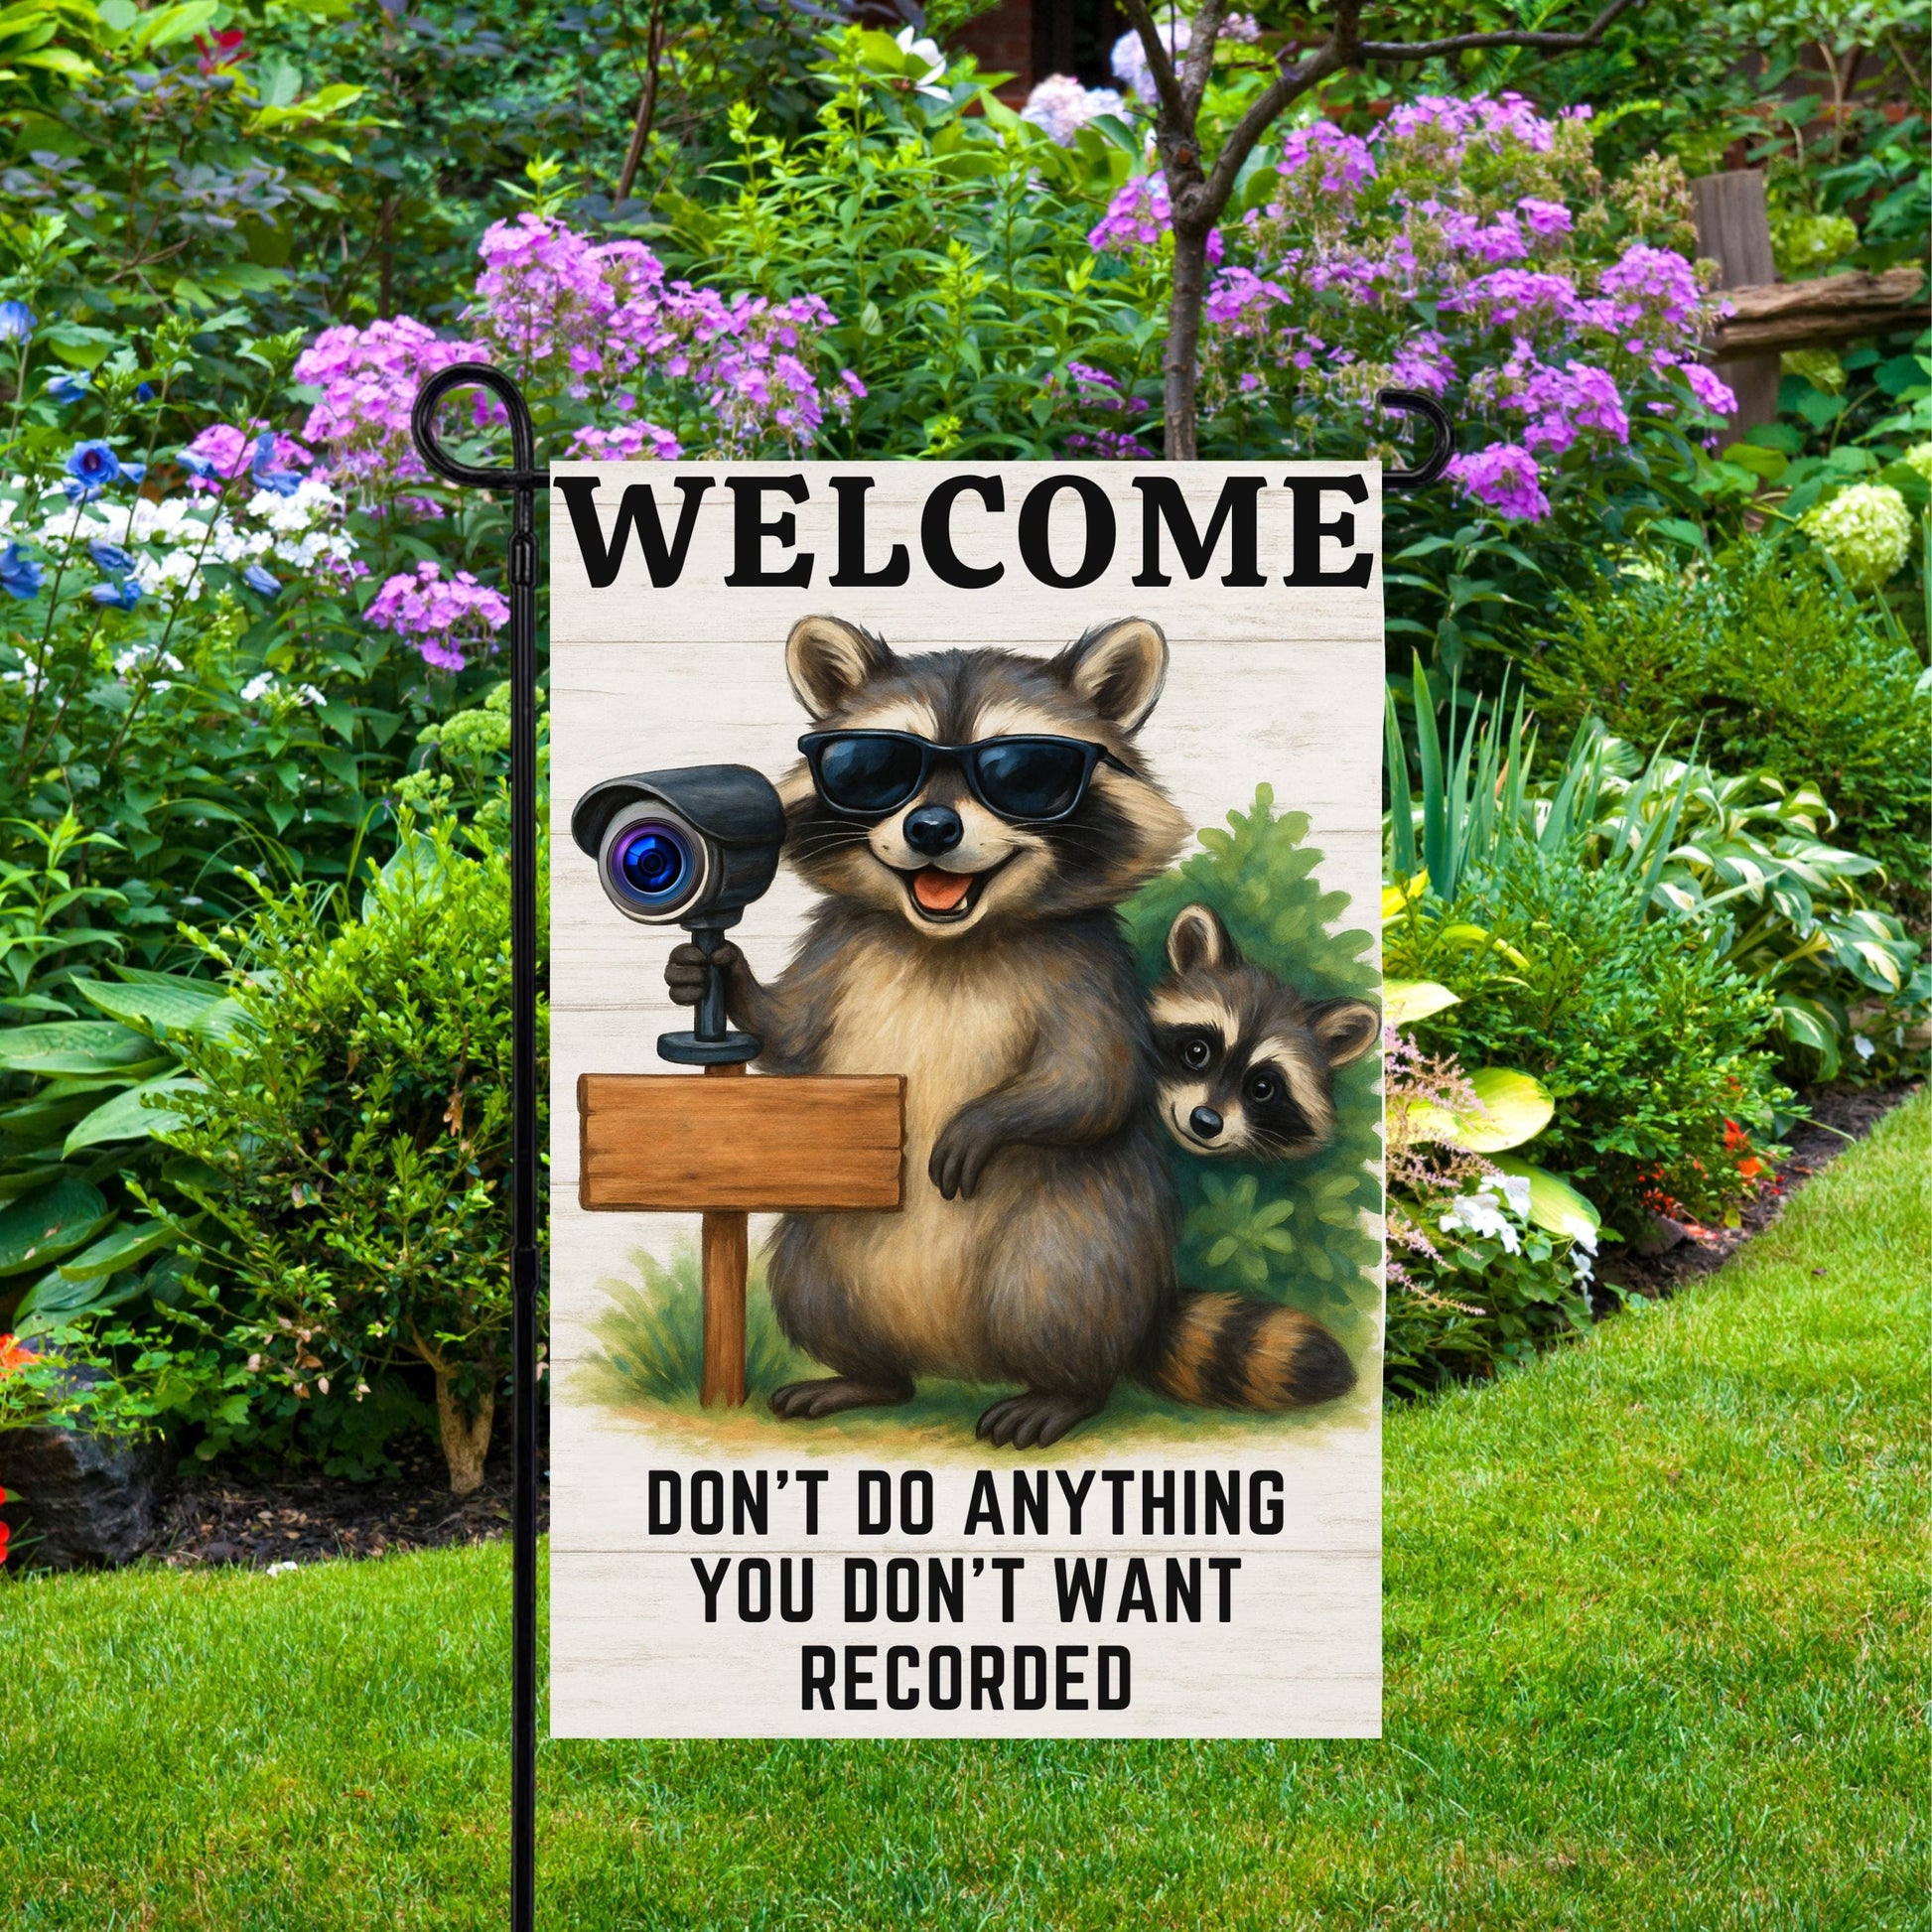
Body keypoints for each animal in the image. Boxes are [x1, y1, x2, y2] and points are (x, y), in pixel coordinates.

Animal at [666, 615, 1353, 1447]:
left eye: (1023, 772)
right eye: (877, 768)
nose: (932, 827)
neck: (950, 938)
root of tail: (954, 1359)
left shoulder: (1089, 972)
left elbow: (1095, 1078)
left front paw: (988, 1119)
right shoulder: (839, 950)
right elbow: (794, 1036)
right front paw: (724, 975)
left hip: (1086, 1242)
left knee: (1059, 1290)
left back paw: (1064, 1391)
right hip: (829, 1245)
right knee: (814, 1287)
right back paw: (865, 1376)